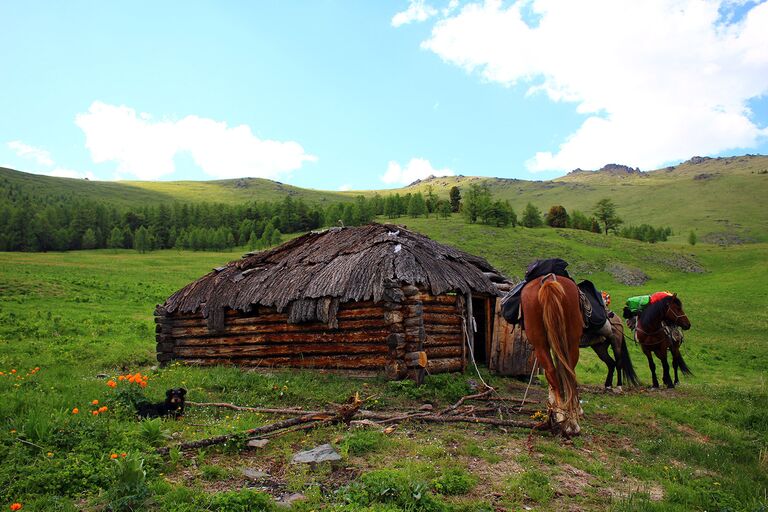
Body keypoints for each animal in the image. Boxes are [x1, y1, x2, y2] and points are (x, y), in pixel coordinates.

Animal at [520, 272, 584, 436]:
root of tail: (548, 281)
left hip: (541, 344)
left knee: (553, 371)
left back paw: (564, 417)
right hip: (569, 342)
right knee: (565, 372)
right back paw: (569, 420)